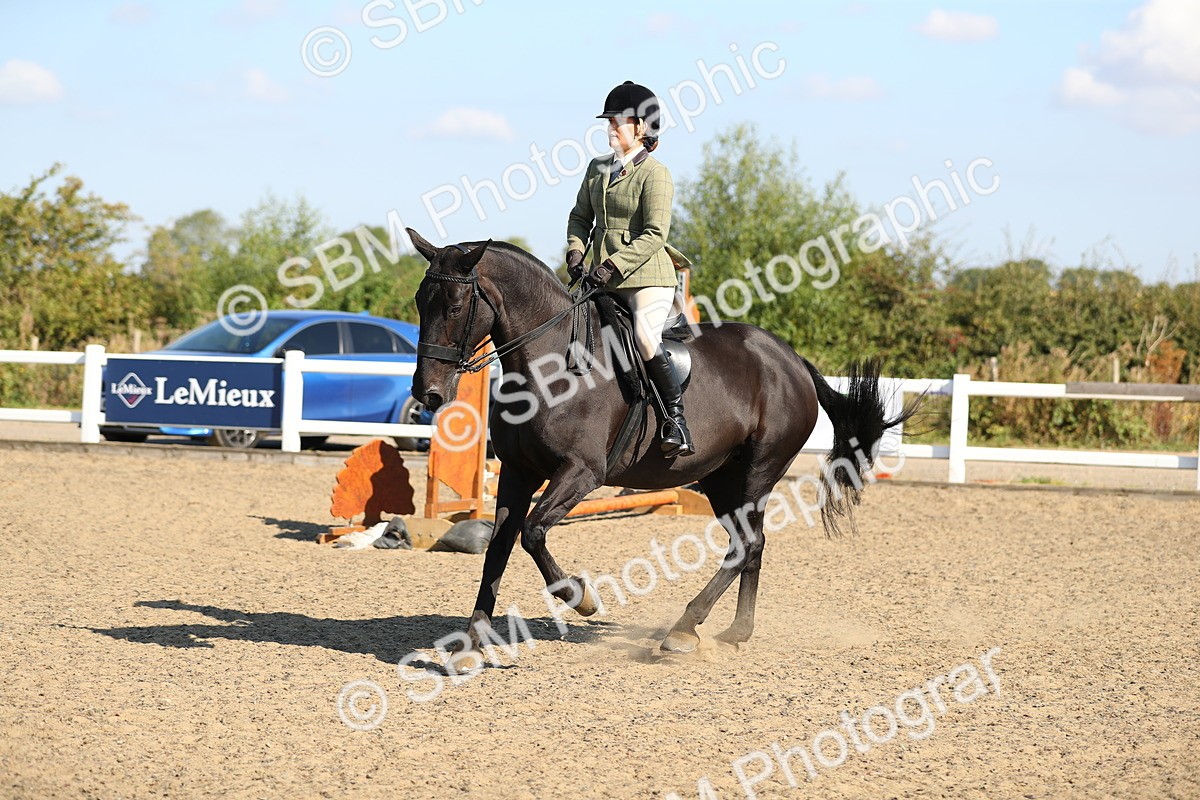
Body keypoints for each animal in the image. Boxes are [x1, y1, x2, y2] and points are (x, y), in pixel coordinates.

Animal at [407, 229, 915, 667]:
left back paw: (683, 630)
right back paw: (735, 631)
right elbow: (498, 547)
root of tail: (792, 361)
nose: (428, 394)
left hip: (759, 469)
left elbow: (532, 533)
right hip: (721, 478)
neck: (550, 364)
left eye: (455, 306)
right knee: (749, 544)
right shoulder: (517, 472)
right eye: (418, 301)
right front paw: (472, 644)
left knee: (748, 543)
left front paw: (582, 599)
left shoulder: (581, 472)